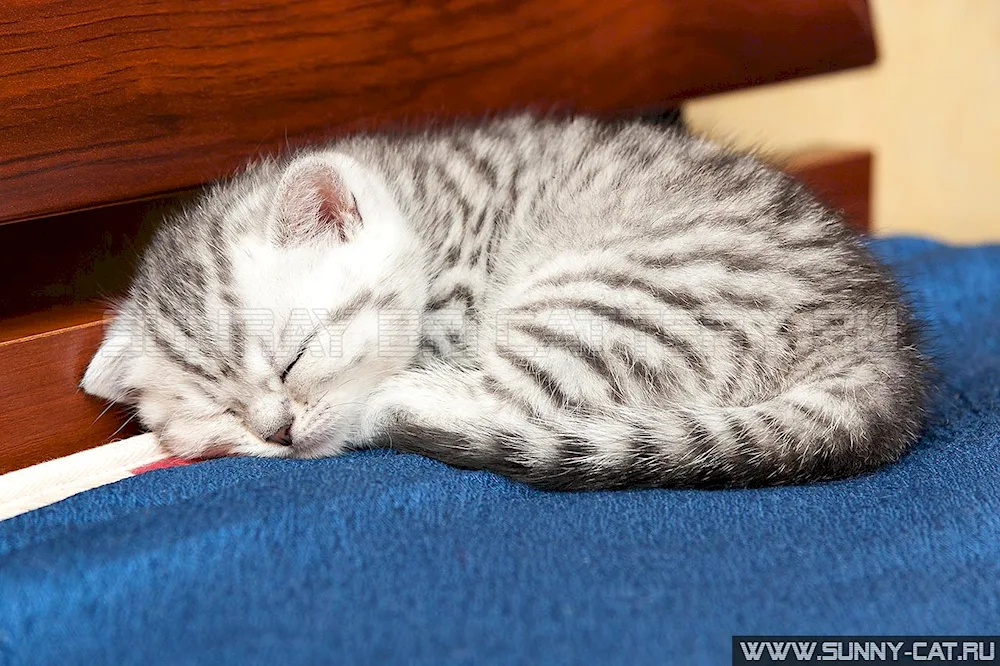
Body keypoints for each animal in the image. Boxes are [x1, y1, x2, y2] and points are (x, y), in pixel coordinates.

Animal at [82, 115, 924, 488]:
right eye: (220, 412)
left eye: (295, 357)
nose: (278, 433)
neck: (421, 215)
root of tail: (880, 350)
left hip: (603, 299)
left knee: (508, 404)